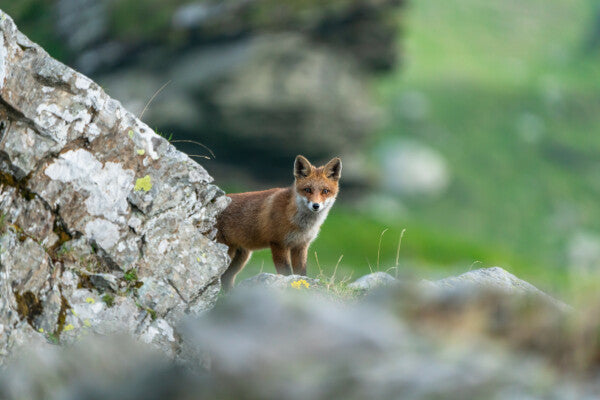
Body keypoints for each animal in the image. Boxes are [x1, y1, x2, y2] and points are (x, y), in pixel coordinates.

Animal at [217, 154, 342, 290]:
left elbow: (301, 273)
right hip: (227, 252)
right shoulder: (278, 244)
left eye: (325, 191)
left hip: (241, 256)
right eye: (308, 189)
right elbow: (286, 273)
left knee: (226, 278)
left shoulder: (301, 246)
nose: (316, 206)